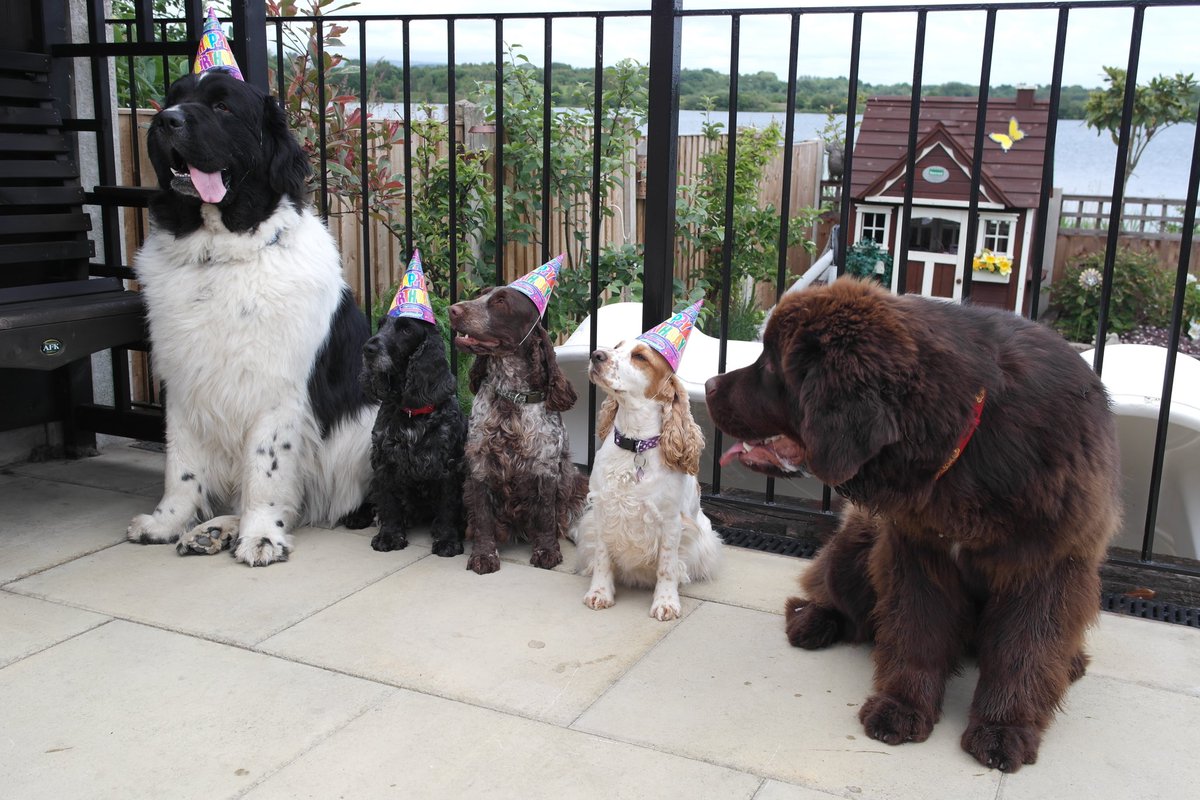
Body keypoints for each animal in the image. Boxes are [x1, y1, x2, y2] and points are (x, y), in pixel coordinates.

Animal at [127, 71, 374, 566]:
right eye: (174, 98)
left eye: (223, 107)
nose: (165, 122)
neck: (220, 258)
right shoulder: (183, 384)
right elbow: (180, 466)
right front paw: (167, 522)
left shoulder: (276, 394)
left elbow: (266, 471)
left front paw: (262, 535)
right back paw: (211, 531)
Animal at [705, 278, 1118, 772]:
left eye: (770, 365)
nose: (708, 384)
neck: (967, 434)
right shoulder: (916, 551)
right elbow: (916, 631)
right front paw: (902, 707)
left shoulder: (1045, 565)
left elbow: (1025, 651)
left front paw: (1004, 728)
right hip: (856, 545)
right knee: (827, 593)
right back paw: (814, 619)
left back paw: (1069, 663)